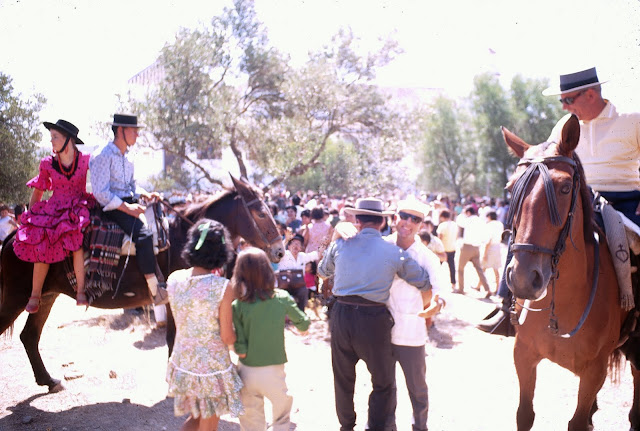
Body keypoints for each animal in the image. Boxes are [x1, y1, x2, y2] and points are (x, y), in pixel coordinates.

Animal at [0, 175, 285, 393]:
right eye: (261, 213)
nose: (280, 251)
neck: (185, 239)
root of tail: (15, 235)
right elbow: (172, 338)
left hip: (44, 296)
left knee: (29, 336)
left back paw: (48, 380)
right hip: (16, 297)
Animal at [502, 114, 640, 431]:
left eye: (565, 188)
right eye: (510, 188)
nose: (524, 279)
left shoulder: (594, 372)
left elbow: (577, 422)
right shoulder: (523, 355)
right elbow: (524, 415)